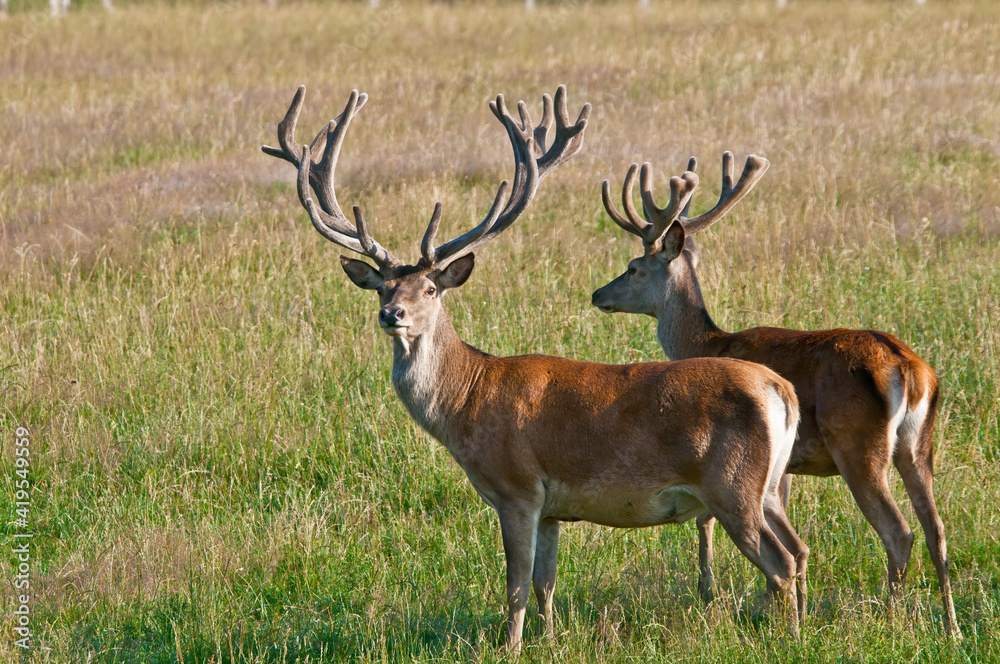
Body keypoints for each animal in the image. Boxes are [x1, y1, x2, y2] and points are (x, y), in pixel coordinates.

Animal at [264, 87, 810, 650]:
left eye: (431, 289)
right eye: (383, 288)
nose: (392, 315)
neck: (467, 400)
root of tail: (781, 390)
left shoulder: (517, 487)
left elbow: (516, 584)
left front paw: (511, 645)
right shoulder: (552, 508)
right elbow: (546, 583)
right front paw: (548, 640)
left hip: (732, 485)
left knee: (781, 561)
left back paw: (788, 637)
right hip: (770, 486)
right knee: (798, 549)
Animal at [591, 152, 960, 637]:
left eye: (633, 268)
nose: (598, 293)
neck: (709, 343)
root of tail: (911, 371)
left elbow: (709, 519)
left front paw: (718, 594)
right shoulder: (787, 464)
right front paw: (792, 606)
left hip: (858, 445)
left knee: (899, 532)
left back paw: (889, 620)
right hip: (919, 446)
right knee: (936, 528)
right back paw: (952, 626)